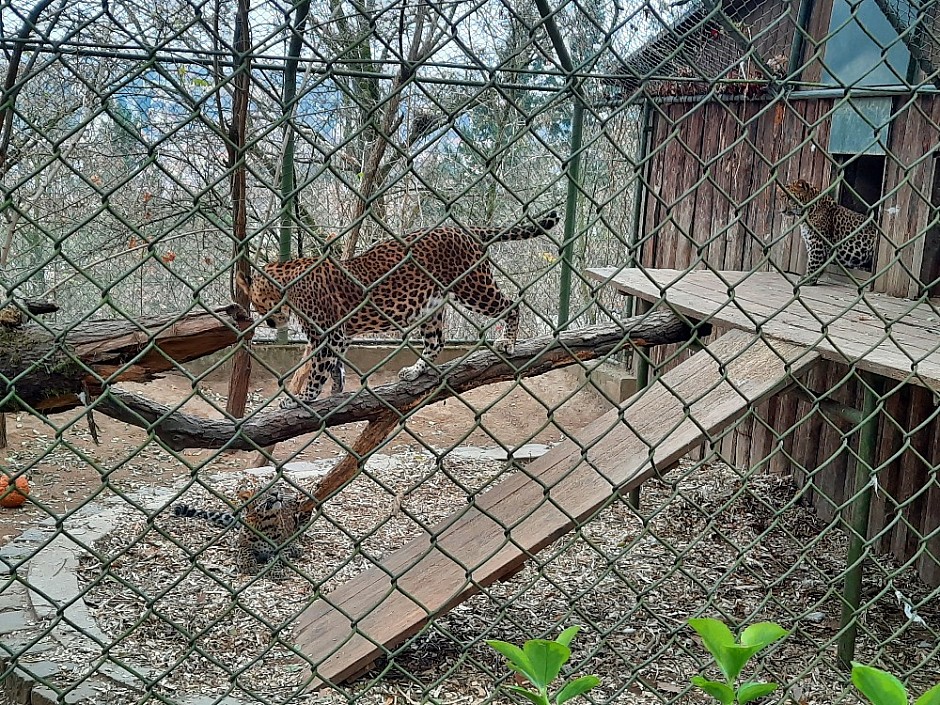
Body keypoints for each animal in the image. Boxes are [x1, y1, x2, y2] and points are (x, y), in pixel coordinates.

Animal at [171, 472, 314, 576]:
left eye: (275, 487)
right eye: (262, 491)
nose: (276, 493)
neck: (266, 523)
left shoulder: (282, 548)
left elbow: (277, 559)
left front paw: (276, 571)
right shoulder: (242, 544)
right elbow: (246, 551)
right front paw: (248, 566)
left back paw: (296, 549)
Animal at [235, 209, 560, 408]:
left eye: (259, 304)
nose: (270, 324)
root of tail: (463, 229)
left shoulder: (328, 334)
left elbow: (316, 370)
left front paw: (302, 398)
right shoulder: (339, 335)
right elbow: (335, 364)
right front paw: (337, 387)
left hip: (473, 287)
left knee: (512, 303)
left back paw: (507, 342)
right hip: (431, 305)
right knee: (436, 342)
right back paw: (415, 372)